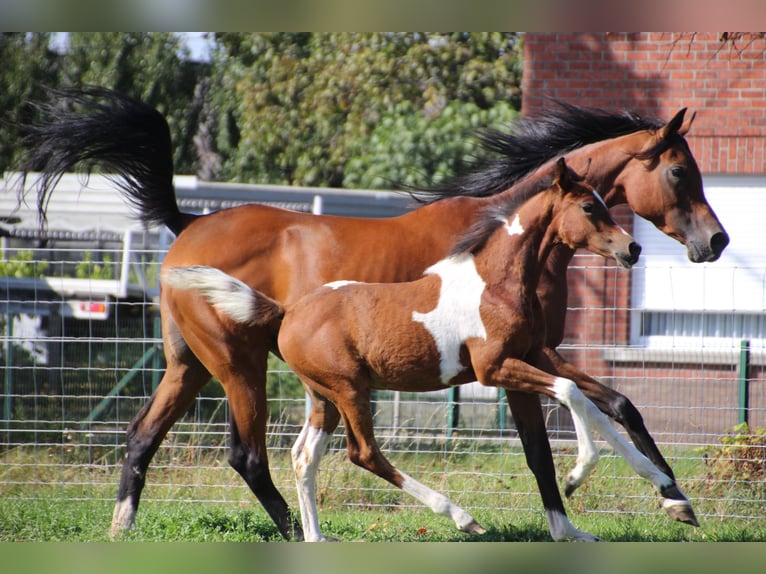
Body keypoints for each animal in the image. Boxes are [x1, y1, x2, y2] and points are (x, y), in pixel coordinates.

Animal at [163, 157, 679, 541]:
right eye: (590, 208)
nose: (631, 249)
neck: (495, 283)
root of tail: (286, 311)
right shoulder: (495, 368)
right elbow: (572, 396)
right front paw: (578, 477)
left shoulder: (537, 354)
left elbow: (592, 402)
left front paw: (665, 492)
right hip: (350, 389)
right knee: (363, 453)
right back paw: (462, 517)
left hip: (323, 397)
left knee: (304, 456)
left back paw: (317, 537)